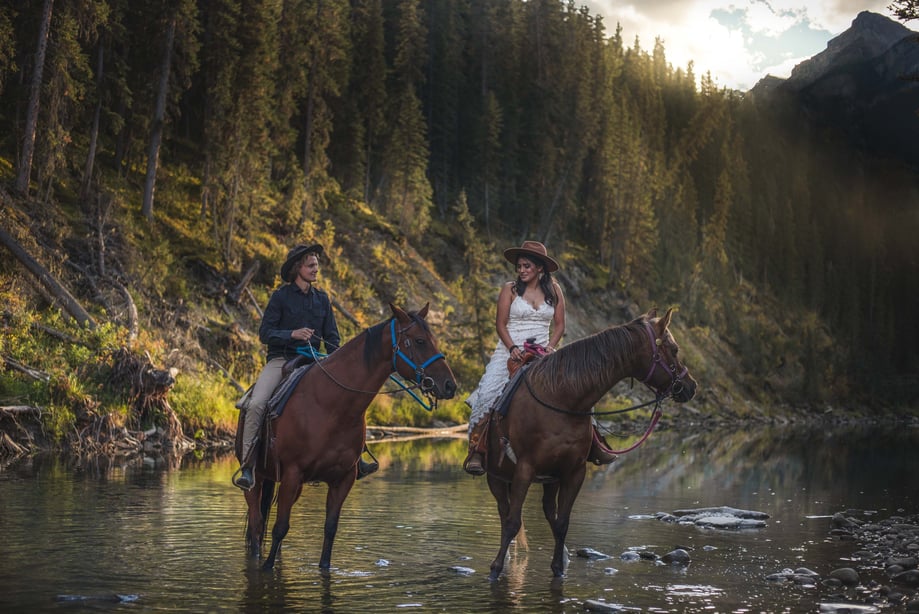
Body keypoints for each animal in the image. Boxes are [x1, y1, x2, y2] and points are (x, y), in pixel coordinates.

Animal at [246, 304, 458, 572]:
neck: (331, 405)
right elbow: (280, 528)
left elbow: (330, 529)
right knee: (256, 524)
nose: (450, 385)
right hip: (257, 480)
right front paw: (266, 568)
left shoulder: (343, 478)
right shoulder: (293, 473)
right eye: (420, 341)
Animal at [486, 310, 692, 580]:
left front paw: (558, 569)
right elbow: (512, 521)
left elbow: (562, 523)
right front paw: (495, 569)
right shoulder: (524, 468)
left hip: (549, 478)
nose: (691, 387)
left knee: (548, 511)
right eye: (674, 349)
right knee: (504, 512)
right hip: (497, 477)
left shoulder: (574, 472)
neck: (562, 398)